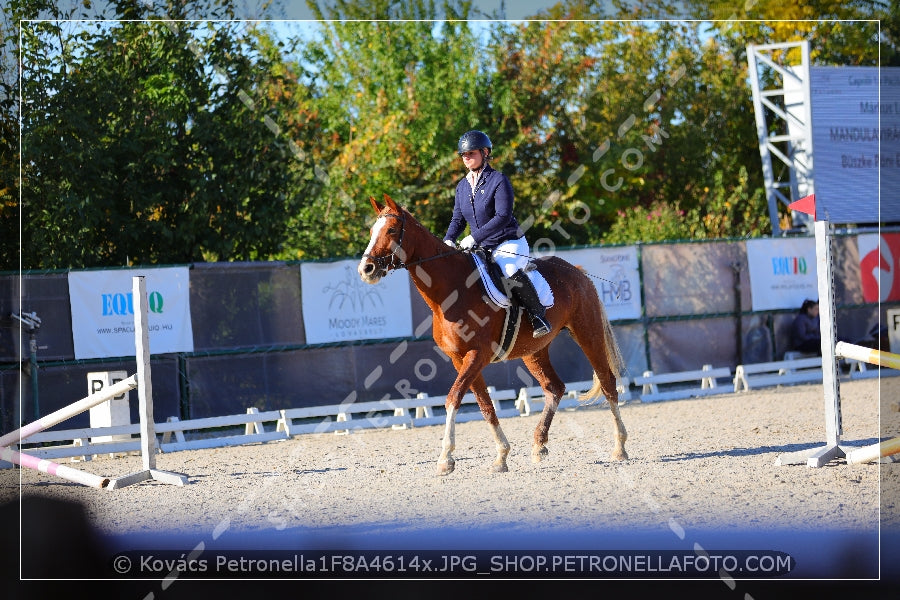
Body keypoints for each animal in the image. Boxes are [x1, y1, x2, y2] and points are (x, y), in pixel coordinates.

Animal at [356, 193, 624, 474]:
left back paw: (619, 448)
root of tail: (578, 272)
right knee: (555, 388)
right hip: (533, 351)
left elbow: (453, 398)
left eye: (391, 230)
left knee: (607, 383)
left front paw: (446, 458)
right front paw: (501, 456)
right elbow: (485, 405)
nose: (366, 269)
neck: (451, 291)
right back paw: (539, 445)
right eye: (372, 231)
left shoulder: (477, 354)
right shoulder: (460, 359)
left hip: (588, 333)